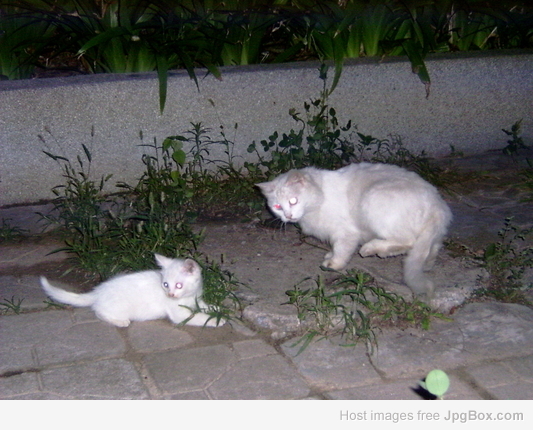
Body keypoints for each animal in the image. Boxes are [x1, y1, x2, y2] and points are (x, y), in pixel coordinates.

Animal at [40, 254, 224, 328]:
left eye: (178, 285)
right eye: (165, 284)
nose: (170, 294)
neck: (187, 297)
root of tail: (98, 291)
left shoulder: (195, 299)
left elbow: (203, 305)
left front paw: (216, 308)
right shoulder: (180, 314)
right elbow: (196, 316)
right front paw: (217, 320)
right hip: (118, 308)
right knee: (99, 311)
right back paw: (120, 322)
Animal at [257, 163, 452, 298]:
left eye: (293, 201)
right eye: (277, 207)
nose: (288, 216)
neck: (320, 197)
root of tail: (437, 206)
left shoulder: (346, 233)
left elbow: (341, 250)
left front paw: (333, 263)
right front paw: (330, 256)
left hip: (374, 200)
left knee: (408, 241)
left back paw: (371, 249)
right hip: (430, 236)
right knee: (427, 249)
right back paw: (424, 263)